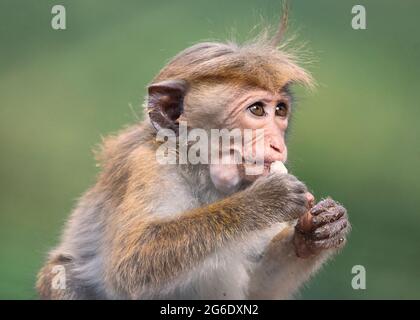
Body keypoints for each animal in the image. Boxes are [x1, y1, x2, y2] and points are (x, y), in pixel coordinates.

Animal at [36, 18, 350, 300]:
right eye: (258, 110)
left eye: (280, 110)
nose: (277, 145)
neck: (198, 171)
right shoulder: (147, 167)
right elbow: (131, 263)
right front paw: (263, 202)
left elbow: (258, 289)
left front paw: (318, 230)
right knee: (65, 274)